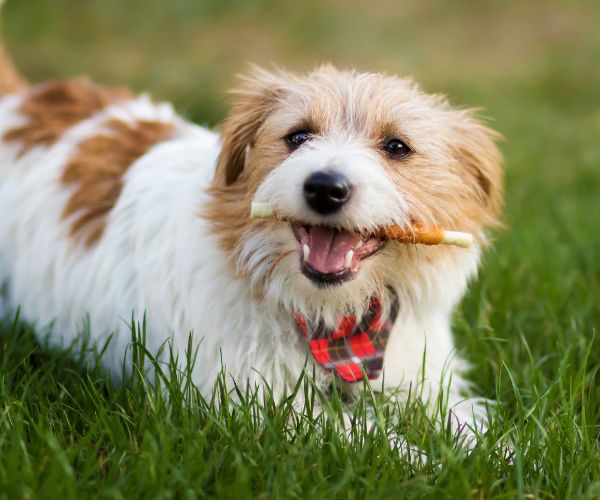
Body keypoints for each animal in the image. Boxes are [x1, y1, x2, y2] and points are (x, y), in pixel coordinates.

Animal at [0, 12, 502, 450]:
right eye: (297, 136)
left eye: (397, 147)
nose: (325, 187)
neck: (334, 321)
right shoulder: (255, 406)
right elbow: (378, 445)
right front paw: (427, 462)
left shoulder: (426, 381)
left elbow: (473, 426)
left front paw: (503, 456)